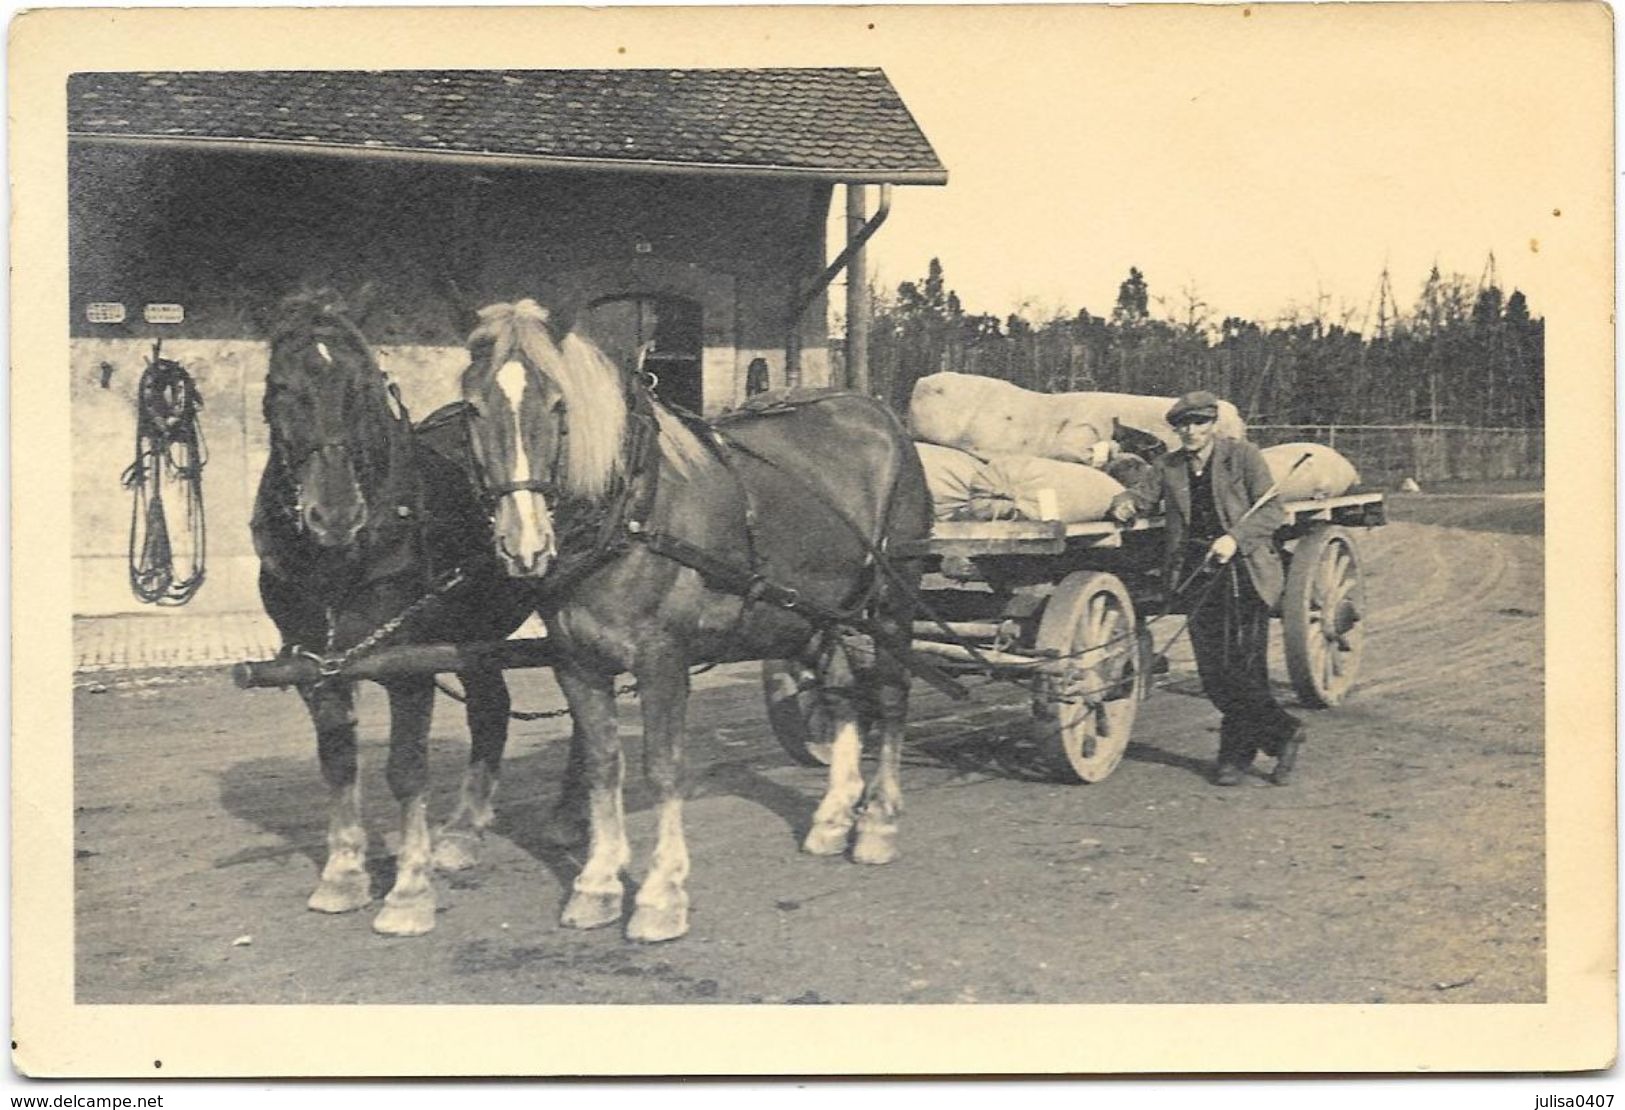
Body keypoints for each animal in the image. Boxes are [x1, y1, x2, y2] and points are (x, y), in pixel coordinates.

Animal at [250, 297, 536, 936]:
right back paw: (463, 832)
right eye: (279, 387)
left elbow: (405, 770)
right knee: (491, 708)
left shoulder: (408, 666)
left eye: (363, 387)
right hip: (472, 634)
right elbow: (337, 763)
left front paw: (409, 892)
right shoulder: (317, 664)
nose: (334, 514)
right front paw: (342, 876)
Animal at [464, 299, 936, 942]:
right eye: (472, 407)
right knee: (840, 689)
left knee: (889, 694)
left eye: (560, 405)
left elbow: (663, 768)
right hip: (815, 611)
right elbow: (603, 765)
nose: (524, 545)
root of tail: (879, 412)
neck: (632, 513)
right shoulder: (575, 663)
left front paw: (661, 894)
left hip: (892, 597)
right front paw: (597, 884)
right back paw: (834, 817)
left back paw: (878, 824)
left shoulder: (663, 659)